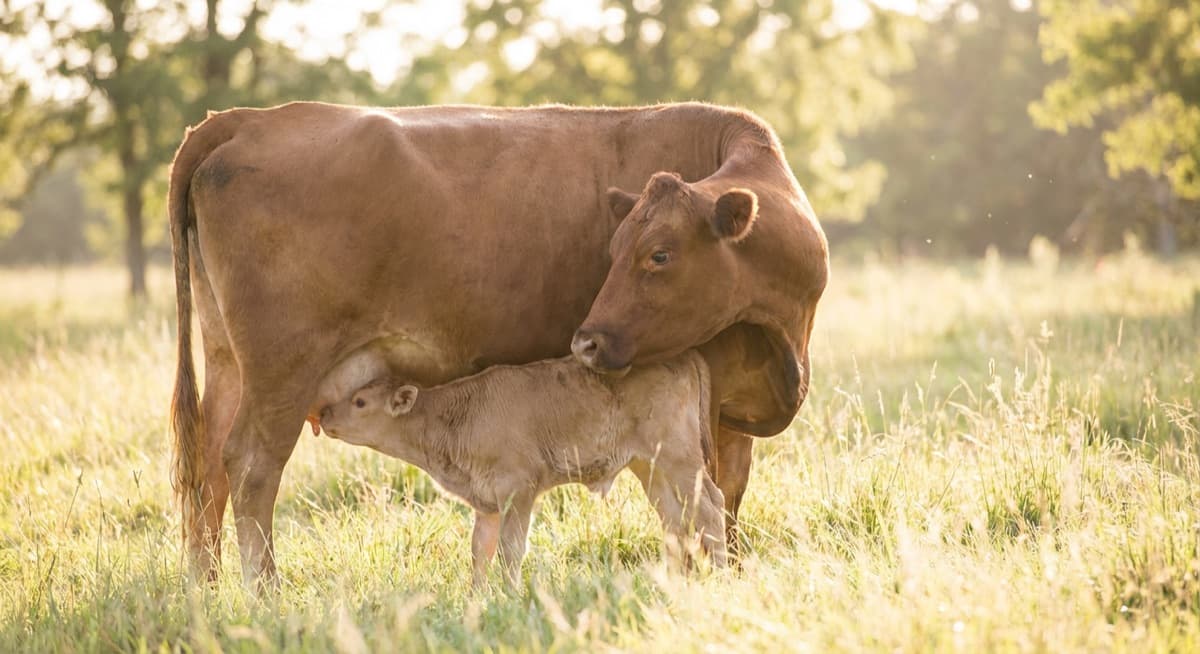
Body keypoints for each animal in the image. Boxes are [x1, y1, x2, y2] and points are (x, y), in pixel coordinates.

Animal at [319, 351, 726, 588]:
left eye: (360, 401)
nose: (324, 414)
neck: (455, 415)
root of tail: (684, 354)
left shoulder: (519, 489)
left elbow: (510, 548)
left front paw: (511, 594)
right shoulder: (485, 500)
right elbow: (479, 550)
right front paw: (477, 598)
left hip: (678, 459)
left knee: (709, 508)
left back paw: (723, 573)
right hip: (651, 467)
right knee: (676, 517)